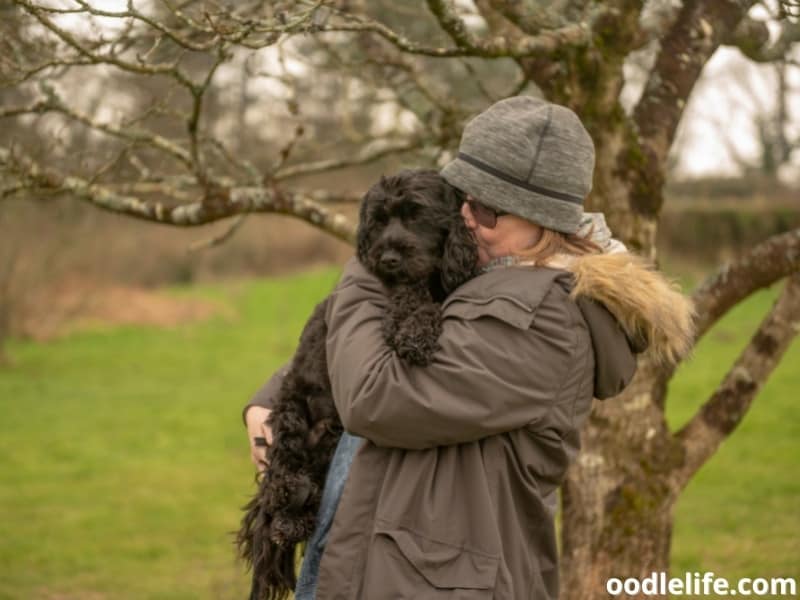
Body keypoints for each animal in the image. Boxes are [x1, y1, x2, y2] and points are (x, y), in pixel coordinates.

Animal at [234, 169, 478, 600]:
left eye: (416, 215)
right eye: (379, 221)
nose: (388, 258)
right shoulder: (397, 290)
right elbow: (410, 297)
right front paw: (417, 330)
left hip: (331, 435)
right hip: (292, 415)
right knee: (282, 479)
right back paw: (288, 518)